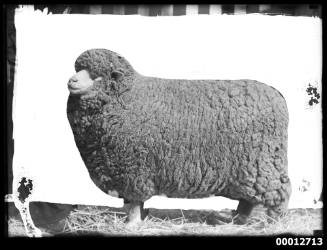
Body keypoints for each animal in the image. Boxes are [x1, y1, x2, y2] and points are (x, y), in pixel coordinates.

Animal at [66, 48, 292, 227]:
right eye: (79, 69)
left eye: (97, 76)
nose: (71, 80)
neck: (126, 97)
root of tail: (278, 96)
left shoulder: (133, 169)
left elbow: (134, 202)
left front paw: (131, 223)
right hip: (249, 169)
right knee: (249, 199)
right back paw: (236, 218)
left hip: (263, 163)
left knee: (280, 192)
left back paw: (272, 223)